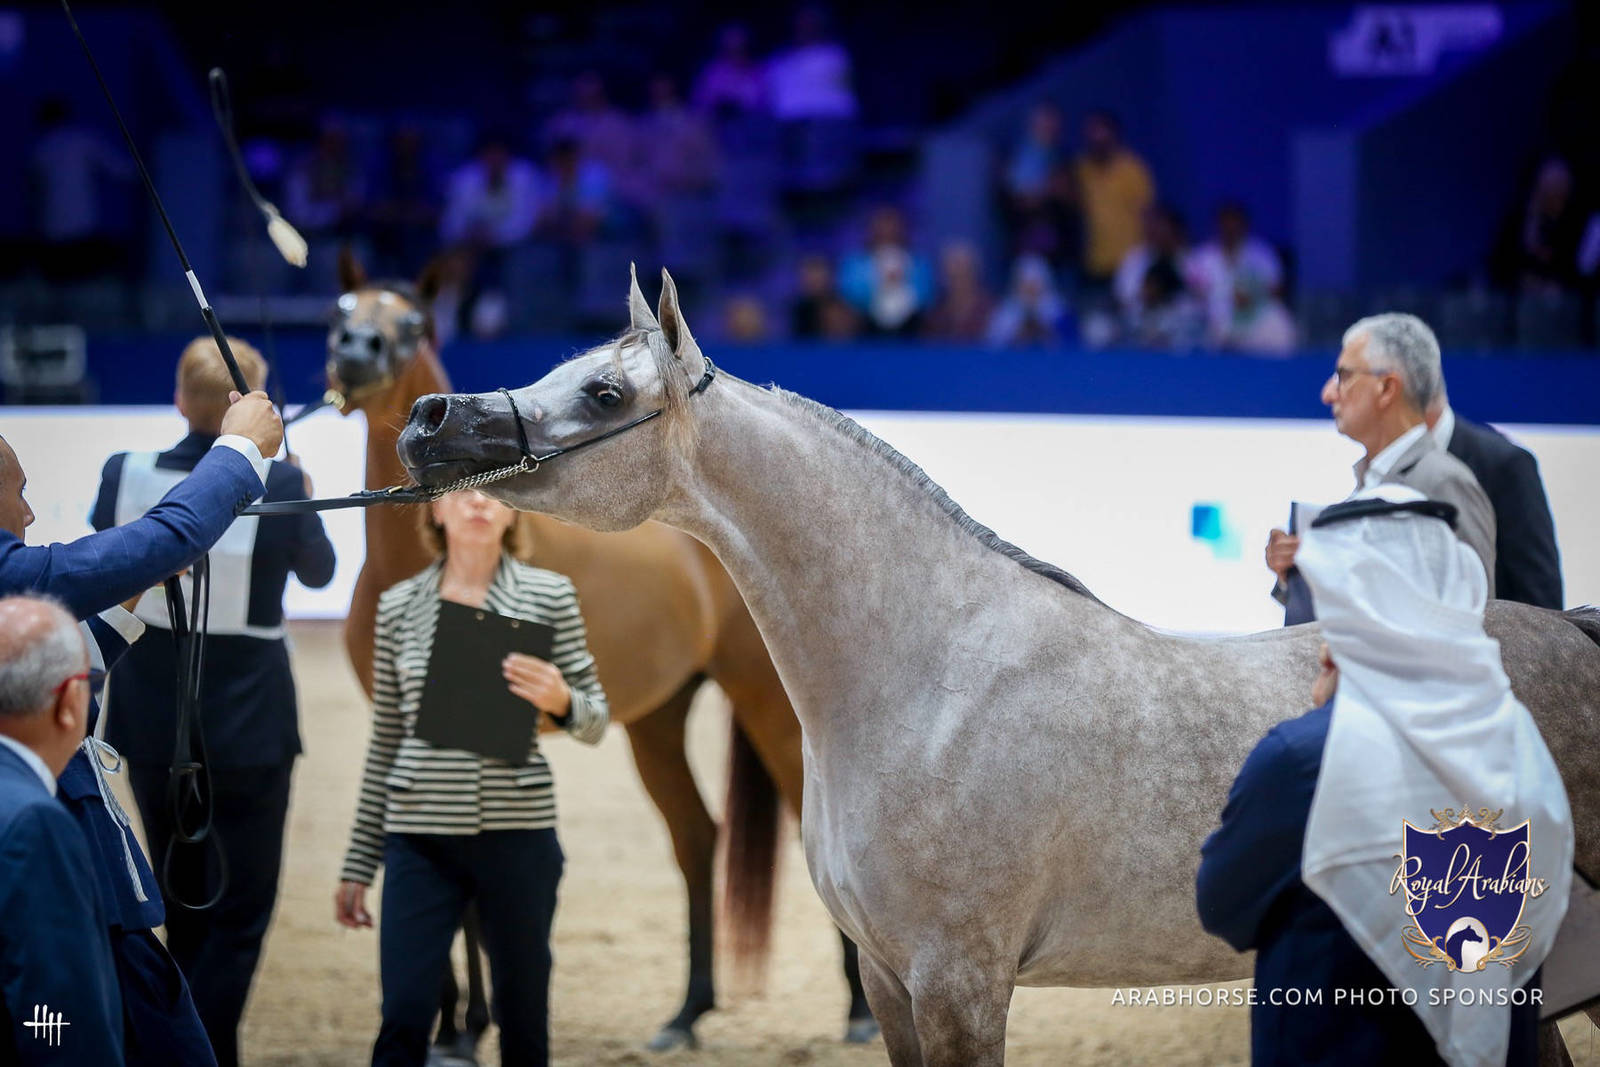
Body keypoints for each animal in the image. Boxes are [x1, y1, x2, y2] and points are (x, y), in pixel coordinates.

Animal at [324, 252, 874, 1056]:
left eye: (415, 322)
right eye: (340, 311)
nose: (357, 354)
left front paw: (468, 1027)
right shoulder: (404, 728)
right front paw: (456, 1022)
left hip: (767, 706)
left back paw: (859, 1009)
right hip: (657, 720)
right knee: (697, 838)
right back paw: (685, 1014)